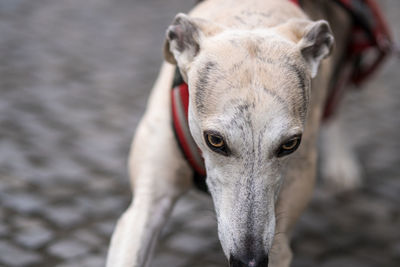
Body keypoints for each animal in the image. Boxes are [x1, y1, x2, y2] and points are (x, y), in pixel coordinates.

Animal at [104, 0, 380, 266]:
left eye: (290, 144)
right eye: (215, 140)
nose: (249, 259)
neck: (253, 16)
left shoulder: (279, 238)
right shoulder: (146, 204)